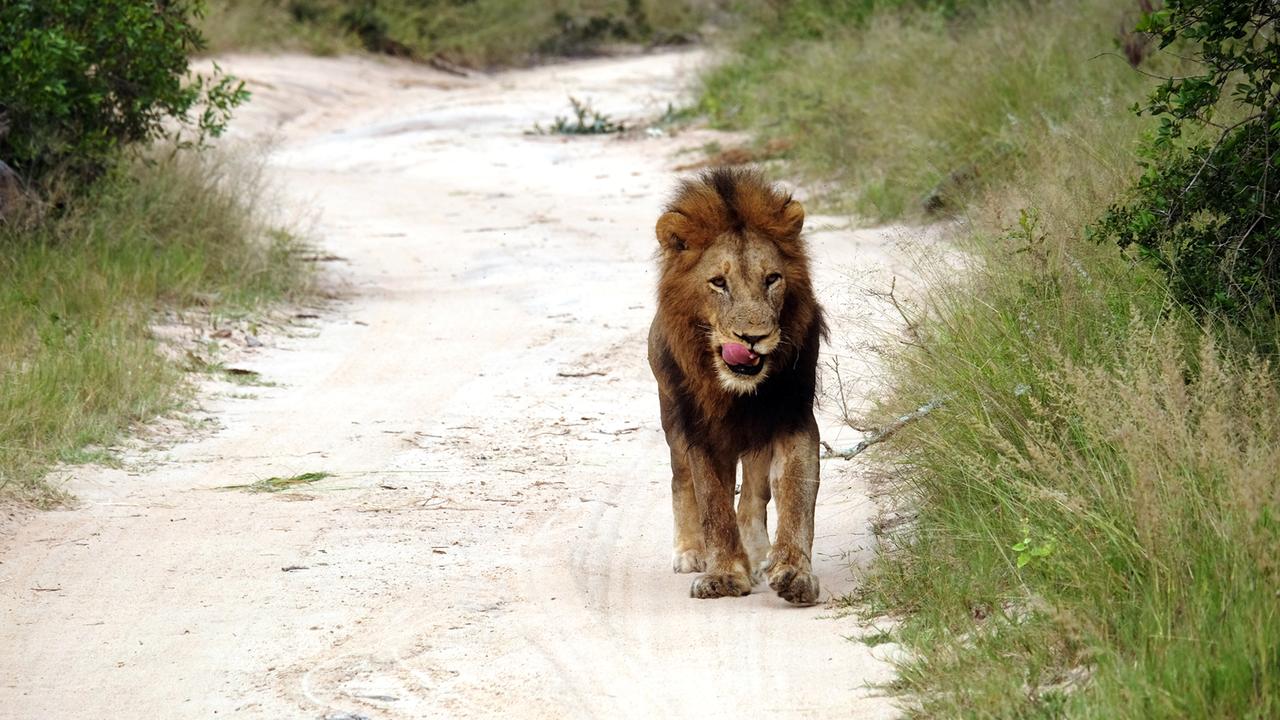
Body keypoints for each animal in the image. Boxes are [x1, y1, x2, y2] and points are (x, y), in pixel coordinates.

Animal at [645, 165, 824, 602]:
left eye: (772, 279)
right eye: (718, 283)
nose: (753, 338)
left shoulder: (792, 416)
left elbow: (795, 495)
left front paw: (794, 572)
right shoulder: (700, 428)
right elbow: (713, 502)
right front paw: (723, 575)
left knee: (755, 494)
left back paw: (758, 553)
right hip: (670, 416)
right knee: (681, 481)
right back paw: (691, 552)